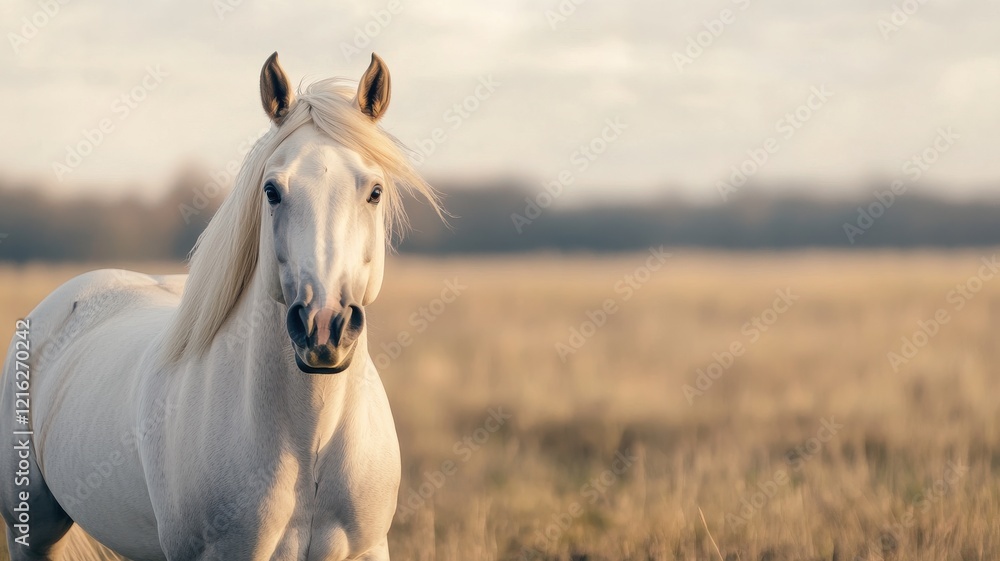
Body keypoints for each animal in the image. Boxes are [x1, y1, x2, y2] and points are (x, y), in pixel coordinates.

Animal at [0, 52, 441, 561]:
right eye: (272, 191)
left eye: (374, 191)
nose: (323, 327)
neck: (310, 443)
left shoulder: (366, 549)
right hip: (32, 530)